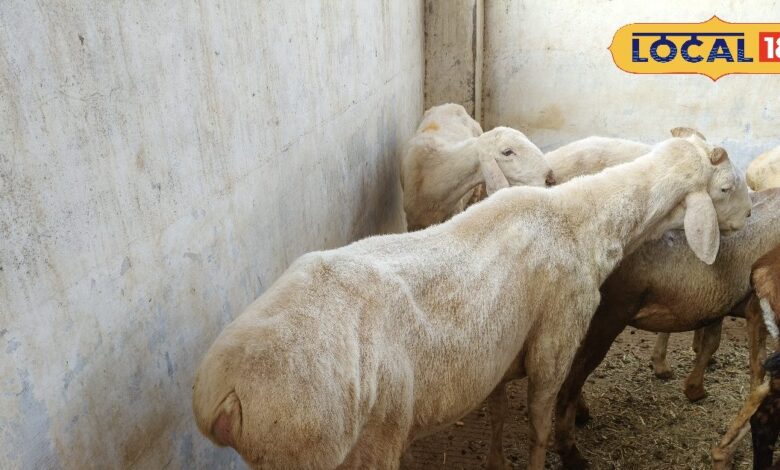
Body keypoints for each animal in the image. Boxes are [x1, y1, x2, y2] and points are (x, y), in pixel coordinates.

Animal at [192, 135, 739, 470]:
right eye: (725, 187)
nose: (747, 218)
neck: (579, 219)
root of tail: (223, 391)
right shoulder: (556, 338)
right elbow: (539, 423)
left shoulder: (501, 350)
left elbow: (497, 411)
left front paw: (496, 460)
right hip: (339, 446)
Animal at [552, 189, 773, 470]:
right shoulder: (754, 308)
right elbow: (757, 376)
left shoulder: (720, 301)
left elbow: (711, 342)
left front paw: (694, 388)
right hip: (606, 318)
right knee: (568, 383)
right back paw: (572, 453)